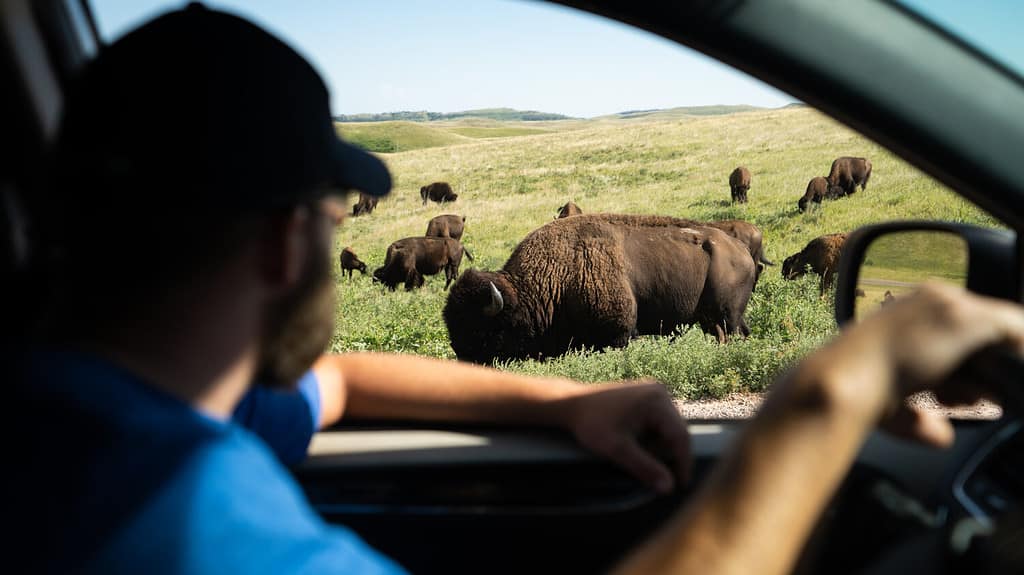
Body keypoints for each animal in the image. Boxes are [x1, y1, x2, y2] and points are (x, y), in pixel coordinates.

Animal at [444, 214, 757, 362]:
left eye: (480, 329)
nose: (462, 357)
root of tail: (742, 250)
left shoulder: (617, 334)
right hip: (715, 319)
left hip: (727, 316)